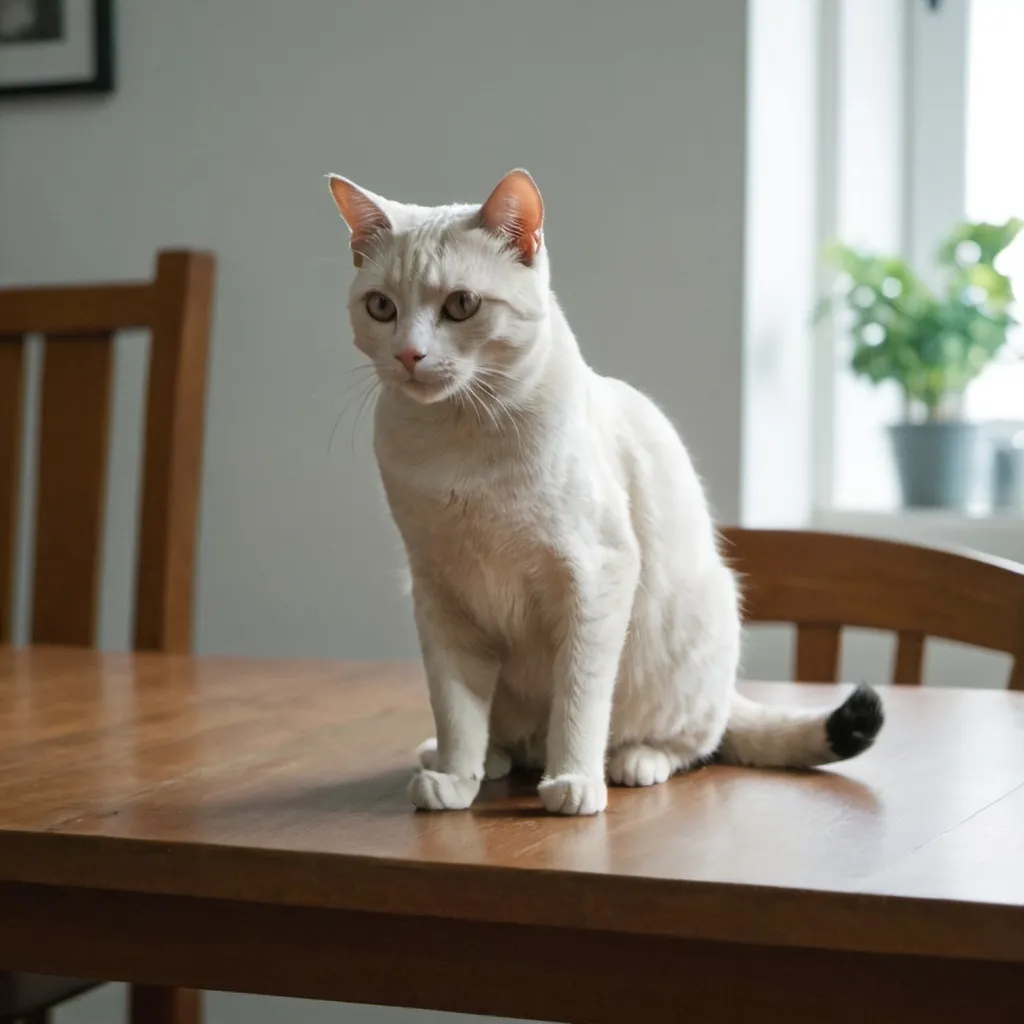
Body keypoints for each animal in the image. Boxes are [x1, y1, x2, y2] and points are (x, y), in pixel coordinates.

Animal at [325, 172, 880, 819]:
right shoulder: (438, 592)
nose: (408, 355)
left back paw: (631, 763)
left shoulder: (594, 575)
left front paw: (574, 784)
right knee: (505, 738)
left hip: (699, 622)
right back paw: (470, 759)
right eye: (381, 307)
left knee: (696, 740)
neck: (459, 442)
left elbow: (579, 700)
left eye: (461, 305)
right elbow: (456, 708)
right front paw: (456, 781)